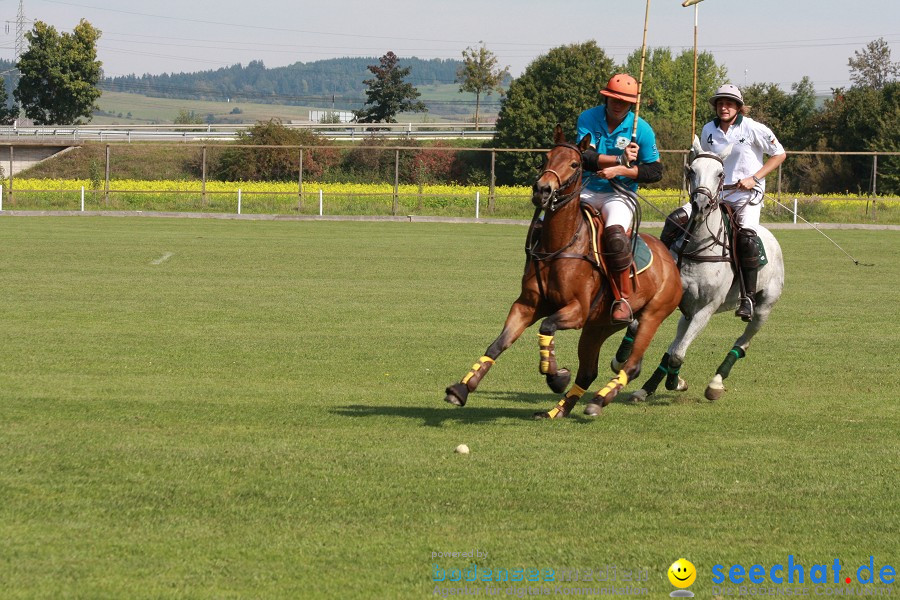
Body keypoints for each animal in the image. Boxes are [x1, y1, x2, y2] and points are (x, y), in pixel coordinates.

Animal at [442, 125, 684, 420]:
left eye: (574, 164)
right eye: (546, 158)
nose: (543, 190)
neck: (559, 245)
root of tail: (669, 258)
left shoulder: (576, 310)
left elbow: (547, 325)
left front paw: (556, 376)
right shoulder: (527, 305)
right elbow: (498, 344)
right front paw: (460, 389)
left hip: (652, 315)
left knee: (632, 365)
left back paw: (598, 401)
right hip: (600, 325)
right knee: (588, 371)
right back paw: (557, 411)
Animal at [624, 134, 780, 400]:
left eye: (720, 173)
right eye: (691, 170)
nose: (701, 204)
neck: (697, 247)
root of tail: (769, 236)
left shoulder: (707, 307)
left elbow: (678, 355)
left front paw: (675, 383)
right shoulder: (676, 300)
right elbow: (653, 336)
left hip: (763, 307)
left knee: (743, 341)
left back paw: (715, 383)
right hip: (689, 309)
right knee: (677, 341)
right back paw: (646, 388)